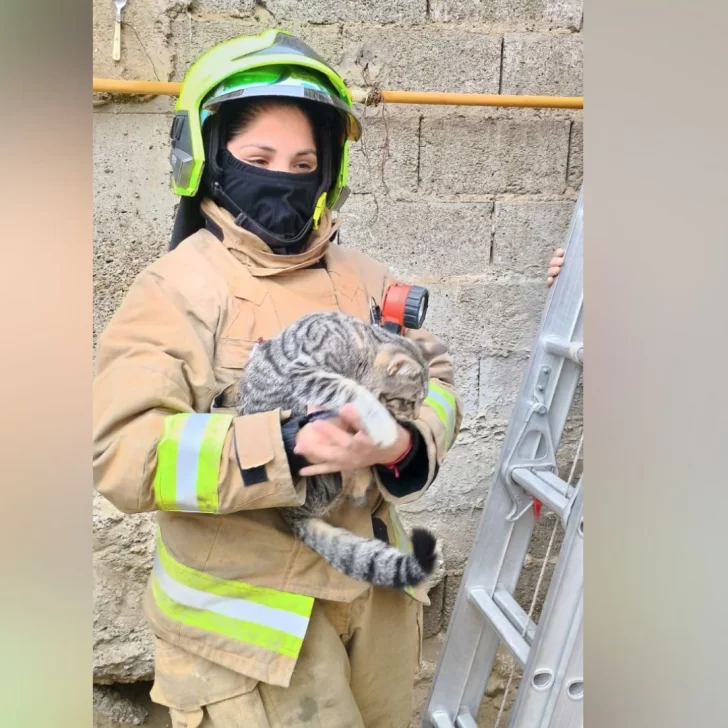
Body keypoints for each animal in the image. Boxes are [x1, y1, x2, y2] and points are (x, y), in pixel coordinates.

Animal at [237, 312, 438, 592]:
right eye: (409, 402)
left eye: (421, 402)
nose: (414, 417)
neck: (361, 346)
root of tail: (291, 514)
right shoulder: (304, 372)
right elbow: (351, 390)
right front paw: (384, 424)